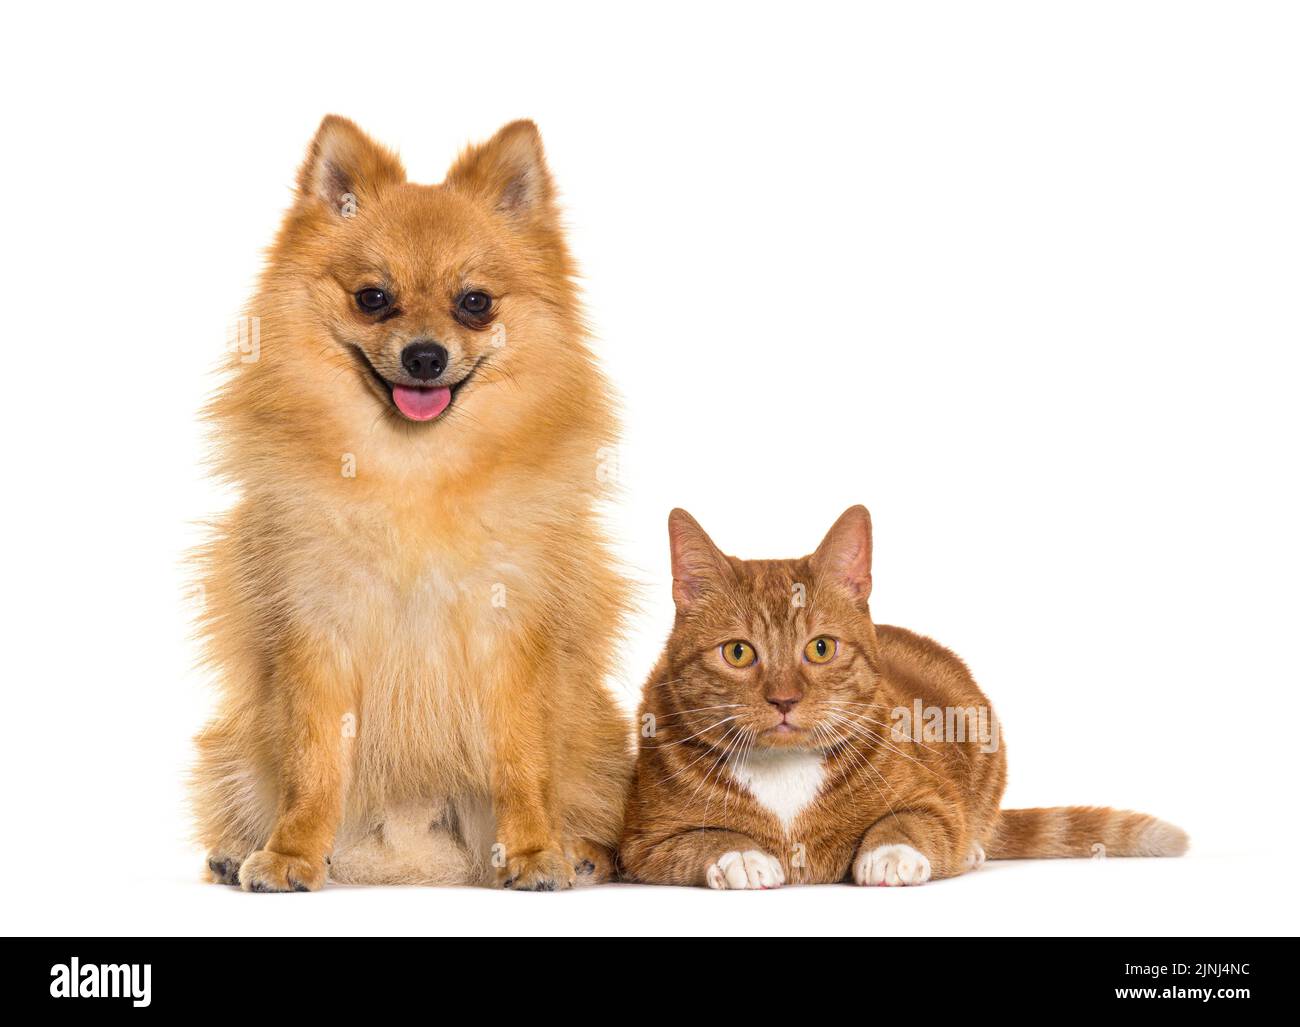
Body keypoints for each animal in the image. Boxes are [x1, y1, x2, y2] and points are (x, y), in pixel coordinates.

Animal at [192, 116, 634, 894]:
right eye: (373, 297)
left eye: (474, 302)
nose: (425, 355)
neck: (416, 473)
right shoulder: (318, 632)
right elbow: (312, 765)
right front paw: (291, 852)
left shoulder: (510, 636)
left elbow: (522, 762)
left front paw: (533, 850)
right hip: (234, 744)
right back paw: (234, 848)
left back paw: (582, 851)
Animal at [618, 509, 1190, 889]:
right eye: (738, 653)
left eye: (820, 648)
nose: (784, 699)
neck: (784, 771)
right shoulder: (642, 843)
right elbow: (702, 839)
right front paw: (739, 854)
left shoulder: (938, 803)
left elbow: (912, 821)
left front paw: (891, 852)